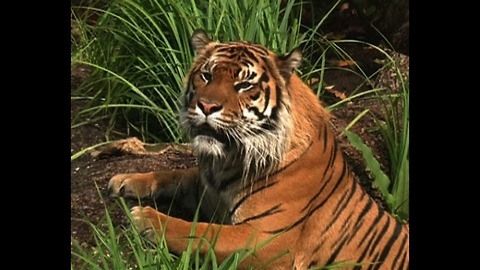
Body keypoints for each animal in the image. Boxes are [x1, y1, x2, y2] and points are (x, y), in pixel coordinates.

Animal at [108, 28, 408, 268]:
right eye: (206, 75)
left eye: (244, 85)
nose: (206, 106)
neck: (228, 160)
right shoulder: (207, 189)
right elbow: (175, 175)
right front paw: (124, 180)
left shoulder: (266, 238)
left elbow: (201, 232)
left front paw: (146, 218)